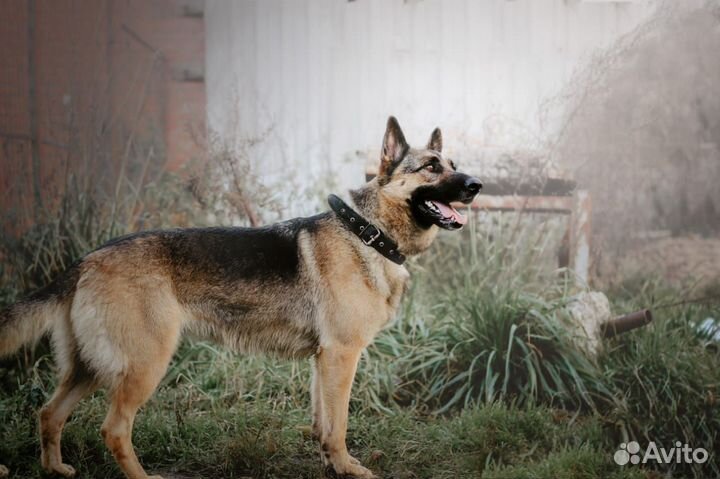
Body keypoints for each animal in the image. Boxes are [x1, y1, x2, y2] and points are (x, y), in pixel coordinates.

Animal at [1, 117, 484, 479]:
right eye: (430, 168)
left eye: (452, 164)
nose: (477, 185)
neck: (368, 233)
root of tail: (86, 260)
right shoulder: (341, 356)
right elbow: (339, 425)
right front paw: (347, 467)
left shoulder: (322, 360)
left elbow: (322, 423)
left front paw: (330, 465)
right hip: (143, 366)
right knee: (114, 429)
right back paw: (139, 475)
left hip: (88, 368)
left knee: (48, 413)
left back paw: (54, 468)